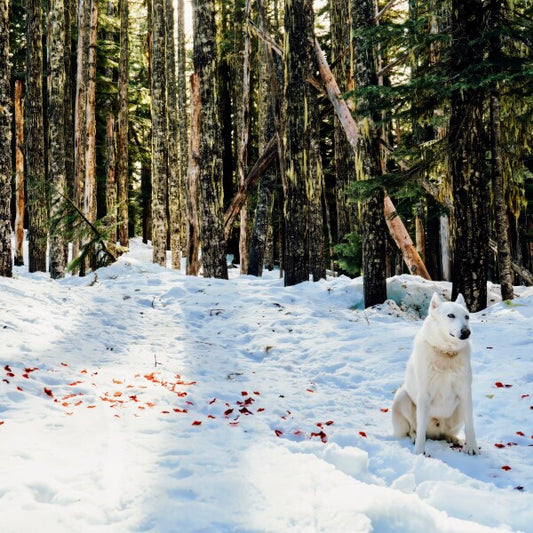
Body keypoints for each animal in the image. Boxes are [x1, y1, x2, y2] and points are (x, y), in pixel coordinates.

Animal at [390, 290, 478, 454]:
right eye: (451, 315)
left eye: (467, 316)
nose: (467, 332)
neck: (446, 353)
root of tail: (435, 433)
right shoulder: (424, 395)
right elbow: (420, 428)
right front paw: (418, 452)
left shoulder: (465, 392)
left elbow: (470, 425)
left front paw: (472, 447)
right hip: (402, 396)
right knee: (413, 429)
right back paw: (414, 437)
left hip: (459, 409)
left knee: (445, 433)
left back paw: (453, 438)